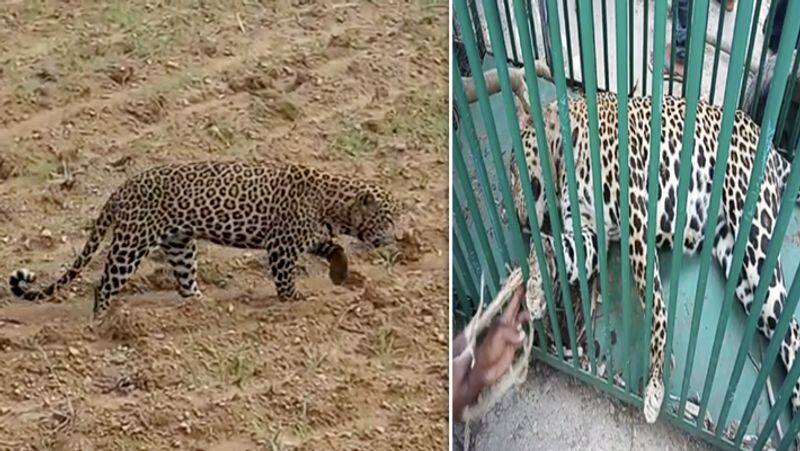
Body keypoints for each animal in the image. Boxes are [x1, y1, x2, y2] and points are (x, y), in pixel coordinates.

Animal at [9, 161, 400, 320]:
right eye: (390, 217)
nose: (397, 239)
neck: (333, 202)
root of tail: (121, 189)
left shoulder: (309, 237)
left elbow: (335, 247)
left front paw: (340, 273)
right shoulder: (282, 246)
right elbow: (285, 279)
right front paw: (293, 302)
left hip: (181, 244)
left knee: (185, 283)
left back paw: (201, 306)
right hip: (131, 243)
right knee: (104, 284)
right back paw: (101, 321)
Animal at [510, 92, 800, 428]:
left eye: (513, 167)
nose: (517, 217)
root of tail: (763, 137)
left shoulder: (637, 216)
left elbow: (655, 305)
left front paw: (656, 384)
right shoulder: (590, 233)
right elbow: (556, 247)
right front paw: (535, 286)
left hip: (755, 234)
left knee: (791, 327)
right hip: (741, 267)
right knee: (785, 328)